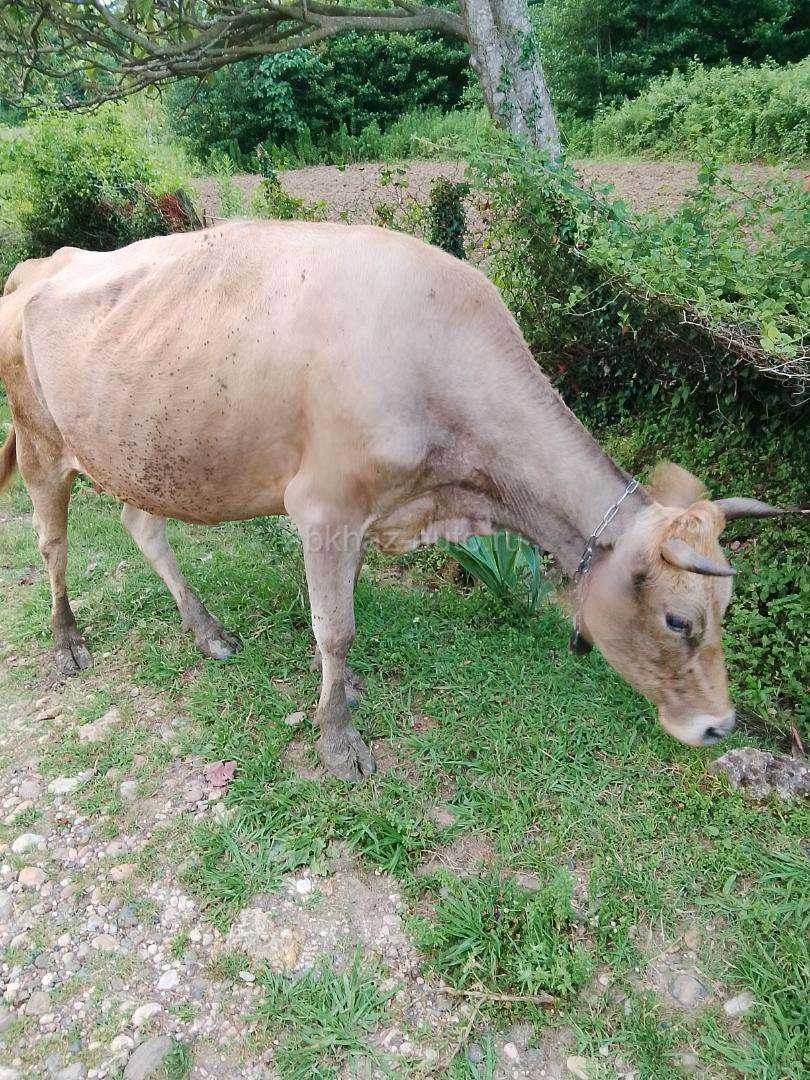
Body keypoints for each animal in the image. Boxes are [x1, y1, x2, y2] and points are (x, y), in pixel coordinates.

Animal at [0, 222, 798, 779]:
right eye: (677, 619)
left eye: (726, 608)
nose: (721, 726)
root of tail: (45, 262)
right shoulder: (323, 507)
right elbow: (335, 628)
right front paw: (336, 740)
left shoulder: (367, 512)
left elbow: (345, 609)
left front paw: (345, 695)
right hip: (40, 441)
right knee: (52, 542)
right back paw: (66, 641)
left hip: (142, 454)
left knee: (141, 523)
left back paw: (208, 631)